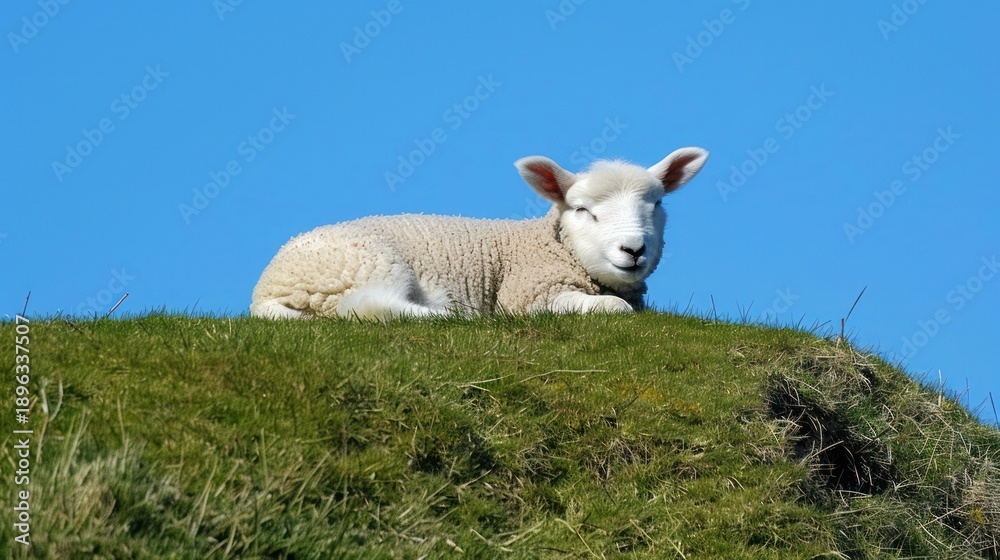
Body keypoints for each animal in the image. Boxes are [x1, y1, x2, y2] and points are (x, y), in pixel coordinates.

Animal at [250, 147, 709, 320]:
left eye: (657, 204)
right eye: (582, 210)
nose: (634, 248)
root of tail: (266, 289)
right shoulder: (528, 294)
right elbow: (614, 309)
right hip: (367, 263)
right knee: (367, 306)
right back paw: (450, 313)